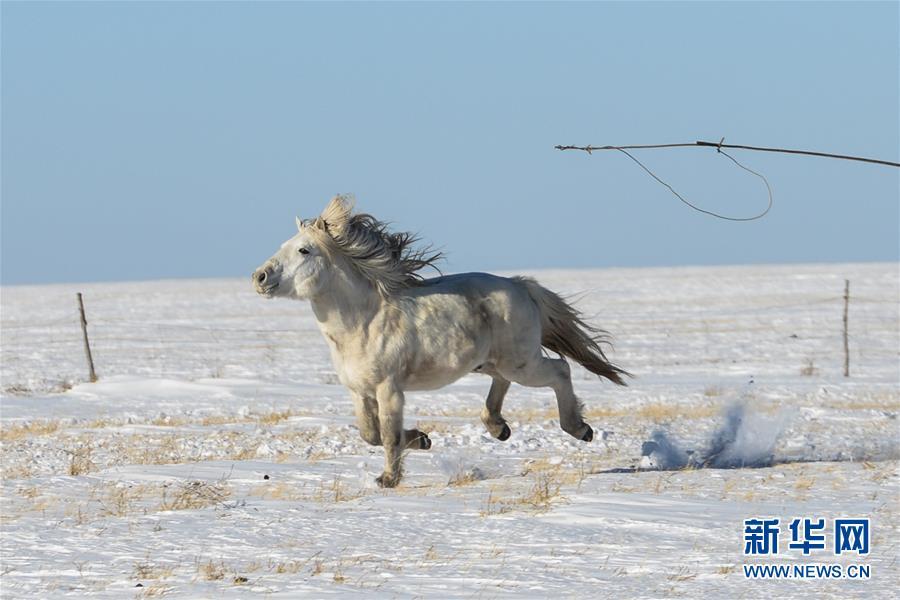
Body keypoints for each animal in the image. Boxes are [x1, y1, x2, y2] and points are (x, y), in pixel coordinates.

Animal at [252, 196, 628, 487]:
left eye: (304, 250)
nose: (260, 277)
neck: (363, 322)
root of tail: (521, 286)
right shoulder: (359, 391)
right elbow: (369, 434)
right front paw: (422, 440)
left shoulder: (389, 389)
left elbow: (387, 435)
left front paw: (388, 479)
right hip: (490, 362)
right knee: (503, 383)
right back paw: (499, 428)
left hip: (523, 363)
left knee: (560, 370)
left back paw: (580, 429)